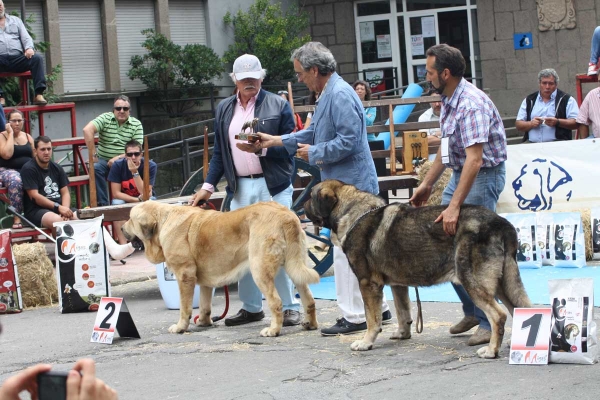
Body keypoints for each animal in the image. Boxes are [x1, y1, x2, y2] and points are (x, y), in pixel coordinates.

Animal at [120, 202, 318, 336]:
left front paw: (180, 327)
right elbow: (205, 305)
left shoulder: (184, 276)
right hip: (295, 267)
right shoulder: (205, 281)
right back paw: (310, 324)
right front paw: (204, 322)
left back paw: (273, 330)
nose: (121, 228)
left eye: (130, 218)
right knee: (309, 299)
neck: (163, 222)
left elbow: (185, 307)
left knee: (276, 302)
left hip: (260, 270)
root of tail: (286, 215)